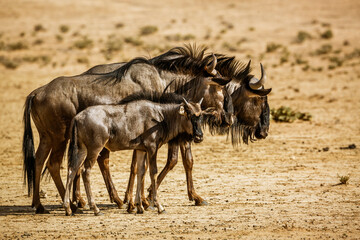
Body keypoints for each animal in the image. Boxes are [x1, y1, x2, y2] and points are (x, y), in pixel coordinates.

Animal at [63, 94, 207, 216]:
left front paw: (139, 206)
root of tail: (78, 118)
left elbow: (140, 172)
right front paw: (159, 206)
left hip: (81, 150)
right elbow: (153, 173)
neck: (161, 116)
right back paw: (95, 208)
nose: (199, 136)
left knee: (72, 170)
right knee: (85, 171)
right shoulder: (152, 148)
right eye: (189, 115)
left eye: (200, 116)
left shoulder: (140, 150)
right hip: (94, 149)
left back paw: (68, 208)